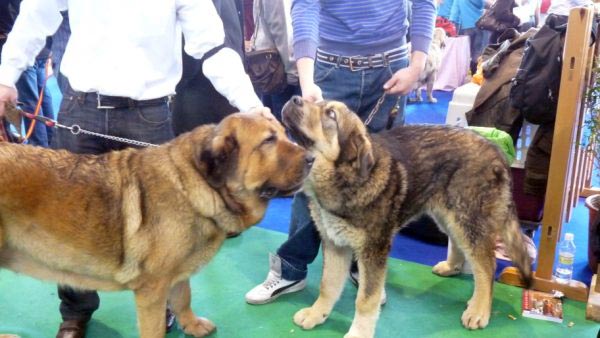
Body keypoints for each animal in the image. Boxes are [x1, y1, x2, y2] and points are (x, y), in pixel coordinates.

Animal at [1, 112, 314, 336]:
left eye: (284, 134)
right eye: (268, 141)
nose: (312, 158)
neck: (195, 183)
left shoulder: (176, 275)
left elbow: (184, 297)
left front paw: (191, 325)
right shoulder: (152, 290)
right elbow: (155, 328)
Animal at [284, 97, 532, 338]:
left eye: (330, 114)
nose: (294, 98)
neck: (345, 178)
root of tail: (496, 150)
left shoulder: (373, 252)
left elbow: (365, 301)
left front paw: (358, 333)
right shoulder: (335, 244)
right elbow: (328, 285)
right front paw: (317, 313)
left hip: (468, 220)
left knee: (487, 267)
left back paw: (479, 309)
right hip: (447, 216)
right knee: (458, 244)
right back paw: (452, 267)